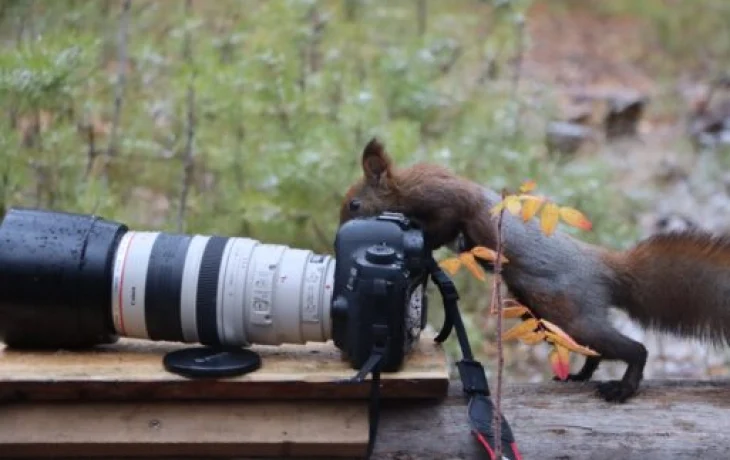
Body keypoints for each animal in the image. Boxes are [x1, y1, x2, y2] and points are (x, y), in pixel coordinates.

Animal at [336, 137, 730, 402]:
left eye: (354, 204)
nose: (340, 230)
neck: (405, 189)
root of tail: (606, 268)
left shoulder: (446, 202)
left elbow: (440, 228)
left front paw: (419, 242)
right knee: (597, 349)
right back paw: (580, 375)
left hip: (572, 311)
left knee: (634, 349)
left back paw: (623, 386)